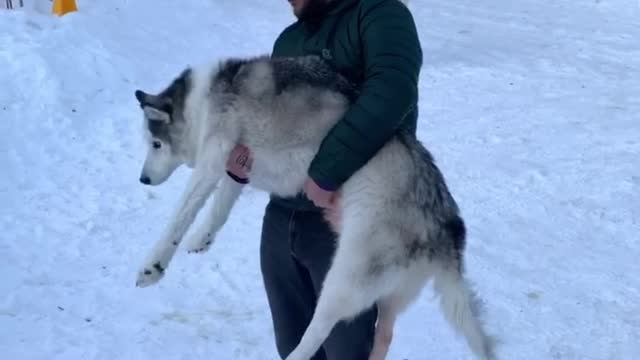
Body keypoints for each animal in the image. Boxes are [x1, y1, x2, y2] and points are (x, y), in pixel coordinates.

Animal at [134, 54, 496, 360]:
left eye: (156, 144)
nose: (143, 180)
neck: (203, 99)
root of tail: (447, 226)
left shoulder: (213, 158)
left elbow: (180, 215)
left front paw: (153, 265)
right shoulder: (237, 164)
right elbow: (221, 206)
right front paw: (202, 238)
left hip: (343, 279)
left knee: (318, 330)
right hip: (388, 294)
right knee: (383, 335)